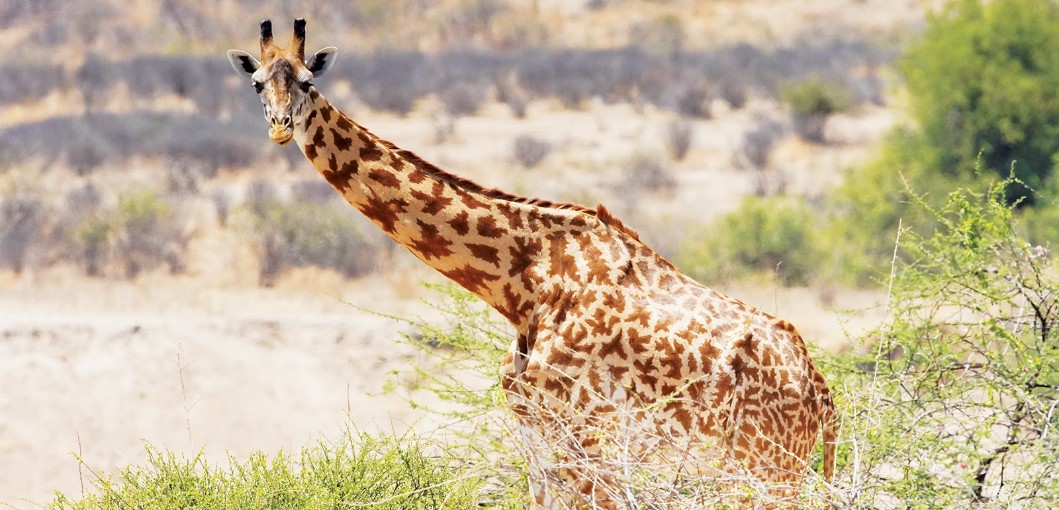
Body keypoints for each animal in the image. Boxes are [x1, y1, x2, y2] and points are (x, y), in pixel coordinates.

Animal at [229, 17, 834, 507]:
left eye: (307, 82)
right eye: (257, 83)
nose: (281, 126)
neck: (524, 281)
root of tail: (822, 396)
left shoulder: (581, 427)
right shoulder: (534, 427)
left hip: (764, 467)